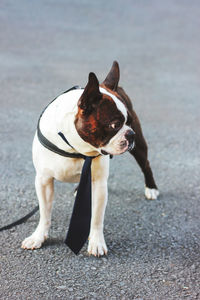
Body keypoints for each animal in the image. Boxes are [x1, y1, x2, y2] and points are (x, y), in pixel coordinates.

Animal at [21, 61, 159, 255]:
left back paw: (151, 188)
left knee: (146, 165)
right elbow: (44, 213)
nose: (130, 133)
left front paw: (96, 242)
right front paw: (38, 236)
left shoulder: (99, 184)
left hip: (139, 146)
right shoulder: (43, 180)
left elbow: (96, 218)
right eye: (115, 125)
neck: (74, 146)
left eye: (129, 122)